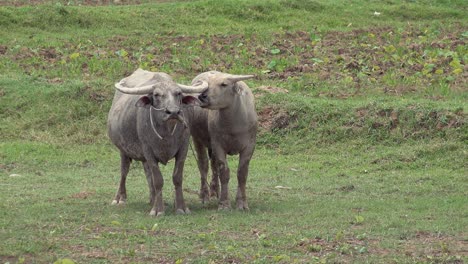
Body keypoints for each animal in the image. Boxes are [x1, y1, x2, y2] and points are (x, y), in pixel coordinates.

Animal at [109, 68, 207, 217]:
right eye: (156, 95)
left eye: (178, 93)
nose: (173, 112)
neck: (166, 132)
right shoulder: (148, 150)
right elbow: (158, 180)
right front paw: (158, 210)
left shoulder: (183, 149)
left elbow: (177, 178)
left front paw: (181, 207)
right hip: (123, 150)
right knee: (124, 171)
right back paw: (120, 198)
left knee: (147, 173)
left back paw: (152, 199)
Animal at [186, 70, 258, 210]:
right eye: (207, 84)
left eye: (224, 84)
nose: (202, 96)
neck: (234, 125)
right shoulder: (218, 145)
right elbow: (224, 172)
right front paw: (224, 204)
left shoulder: (249, 147)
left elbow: (242, 173)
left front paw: (242, 203)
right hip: (197, 138)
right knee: (203, 165)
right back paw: (204, 196)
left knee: (213, 165)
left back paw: (215, 192)